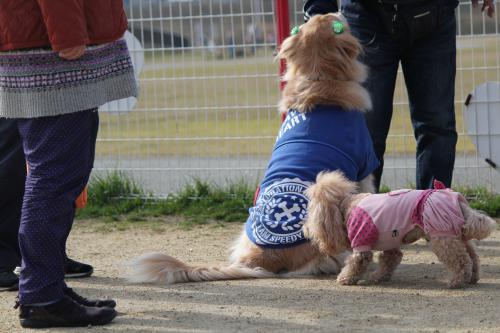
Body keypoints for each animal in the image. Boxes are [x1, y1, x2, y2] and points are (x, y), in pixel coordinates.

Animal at [302, 170, 498, 286]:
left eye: (310, 213)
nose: (304, 228)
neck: (346, 207)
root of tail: (457, 199)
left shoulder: (361, 242)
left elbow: (357, 262)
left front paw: (345, 278)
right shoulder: (390, 243)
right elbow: (390, 260)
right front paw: (378, 277)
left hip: (442, 237)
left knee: (461, 260)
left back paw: (457, 281)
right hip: (456, 235)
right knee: (473, 256)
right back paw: (473, 278)